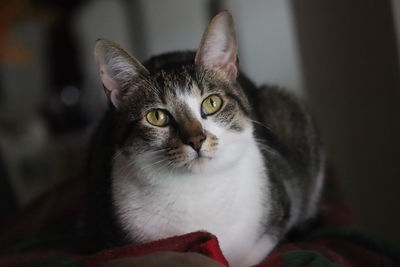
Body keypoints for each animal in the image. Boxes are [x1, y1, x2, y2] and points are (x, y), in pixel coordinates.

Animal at [85, 10, 324, 267]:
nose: (196, 139)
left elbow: (248, 254)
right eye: (157, 116)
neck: (197, 192)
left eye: (212, 103)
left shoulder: (281, 207)